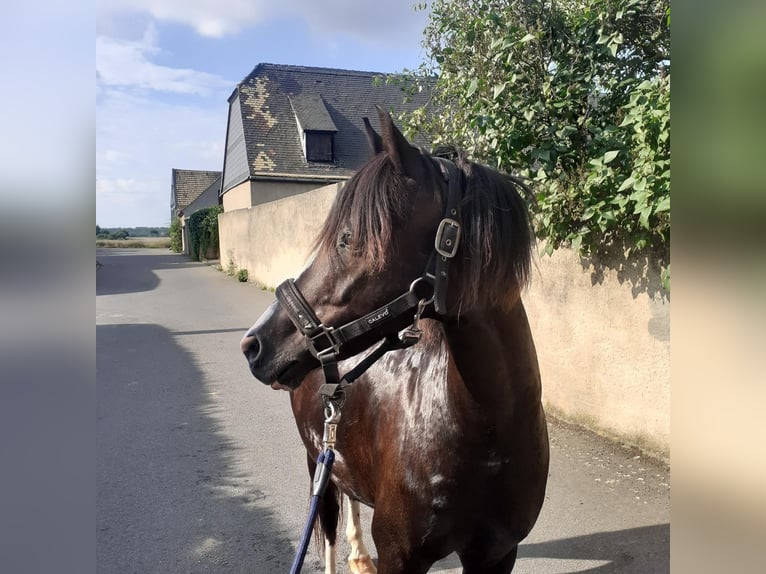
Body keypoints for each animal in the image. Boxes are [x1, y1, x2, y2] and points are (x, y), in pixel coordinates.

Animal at [243, 106, 548, 572]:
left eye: (349, 238)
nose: (255, 345)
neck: (488, 428)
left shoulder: (497, 554)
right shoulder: (399, 556)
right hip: (316, 461)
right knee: (328, 527)